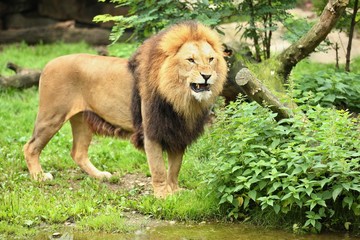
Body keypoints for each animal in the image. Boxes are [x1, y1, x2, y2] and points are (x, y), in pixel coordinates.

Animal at [23, 21, 228, 197]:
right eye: (191, 60)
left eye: (211, 59)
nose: (207, 76)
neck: (180, 98)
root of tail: (49, 63)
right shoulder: (152, 131)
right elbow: (159, 169)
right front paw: (163, 195)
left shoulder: (178, 133)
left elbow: (175, 168)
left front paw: (176, 192)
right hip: (52, 116)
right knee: (30, 147)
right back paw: (39, 177)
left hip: (82, 119)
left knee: (78, 153)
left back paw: (100, 175)